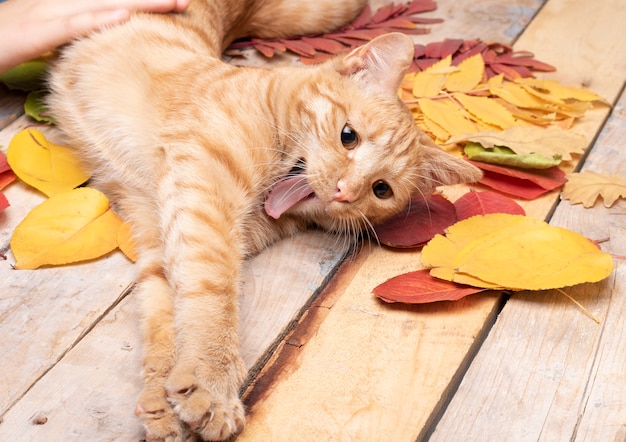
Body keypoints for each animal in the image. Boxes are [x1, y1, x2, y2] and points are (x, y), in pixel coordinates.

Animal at [47, 0, 478, 438]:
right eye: (348, 136)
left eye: (381, 189)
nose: (344, 191)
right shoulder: (205, 195)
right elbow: (213, 292)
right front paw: (212, 381)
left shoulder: (163, 230)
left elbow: (167, 316)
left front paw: (163, 400)